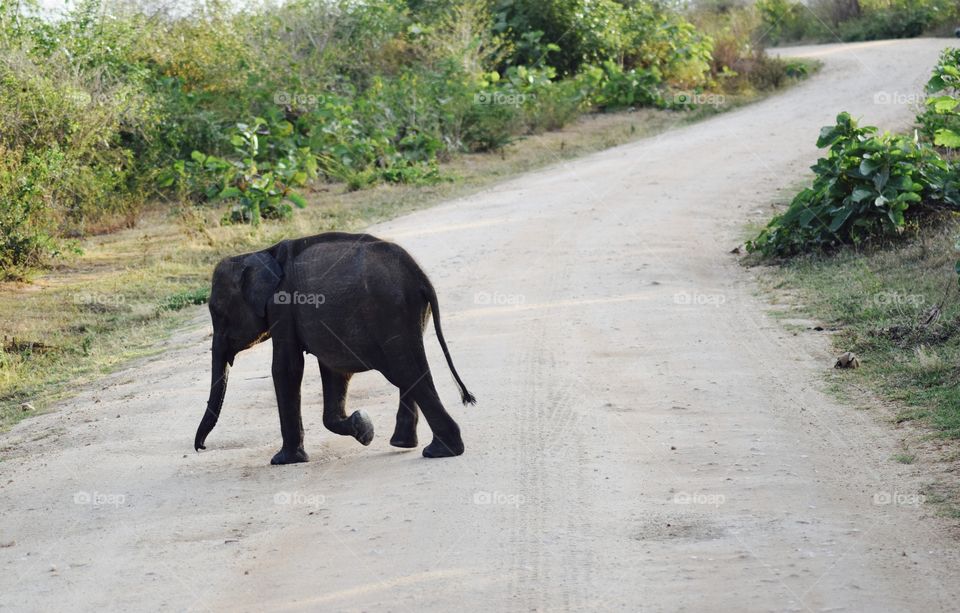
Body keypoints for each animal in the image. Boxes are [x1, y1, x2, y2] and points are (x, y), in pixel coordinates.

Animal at [193, 232, 475, 464]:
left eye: (217, 312)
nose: (201, 448)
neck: (259, 254)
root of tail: (420, 276)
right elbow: (333, 370)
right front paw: (364, 429)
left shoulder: (282, 306)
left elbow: (287, 369)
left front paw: (283, 461)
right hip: (408, 313)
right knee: (408, 372)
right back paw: (405, 444)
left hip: (390, 311)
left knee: (406, 370)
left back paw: (440, 451)